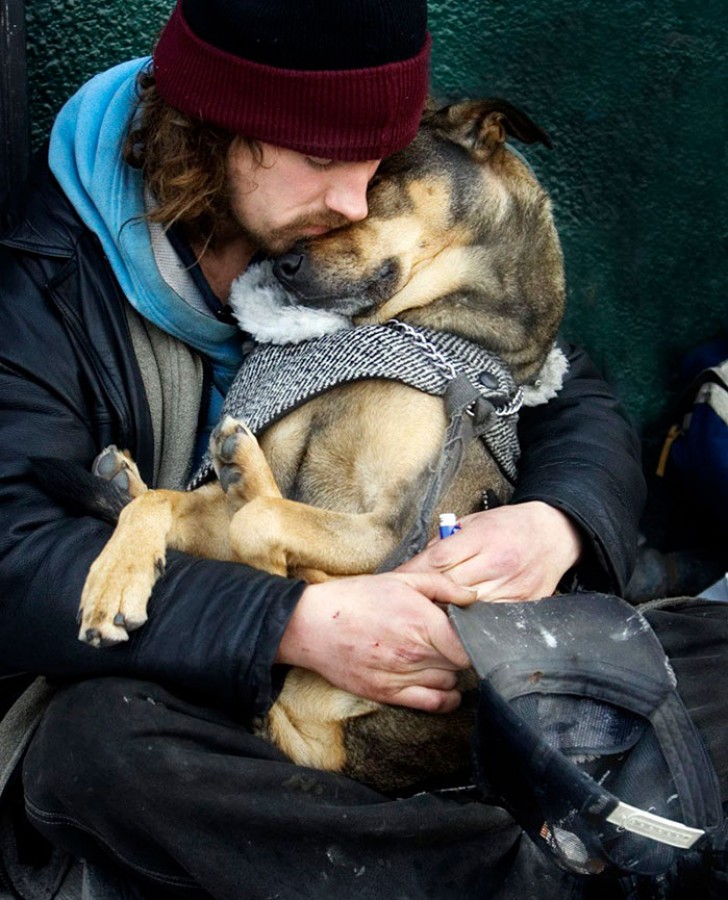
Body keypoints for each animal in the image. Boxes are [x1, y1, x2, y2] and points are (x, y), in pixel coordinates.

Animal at [64, 96, 564, 788]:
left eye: (377, 178)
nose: (281, 264)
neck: (415, 328)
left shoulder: (398, 528)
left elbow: (260, 524)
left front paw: (265, 539)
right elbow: (171, 508)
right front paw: (114, 579)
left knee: (311, 724)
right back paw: (140, 480)